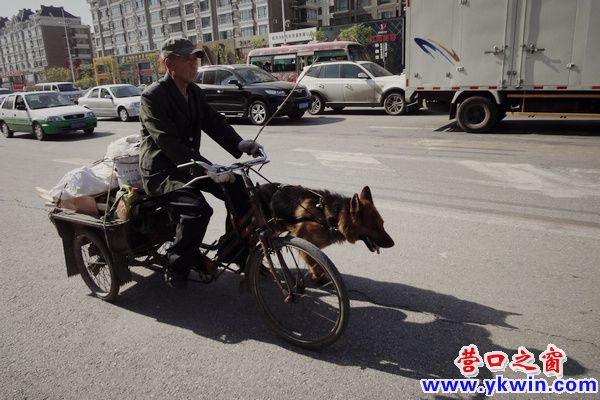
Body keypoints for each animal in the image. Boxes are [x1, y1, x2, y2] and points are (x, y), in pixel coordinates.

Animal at [256, 184, 394, 282]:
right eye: (375, 227)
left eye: (382, 224)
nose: (392, 244)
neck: (334, 218)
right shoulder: (303, 241)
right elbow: (316, 266)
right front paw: (319, 279)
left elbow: (316, 264)